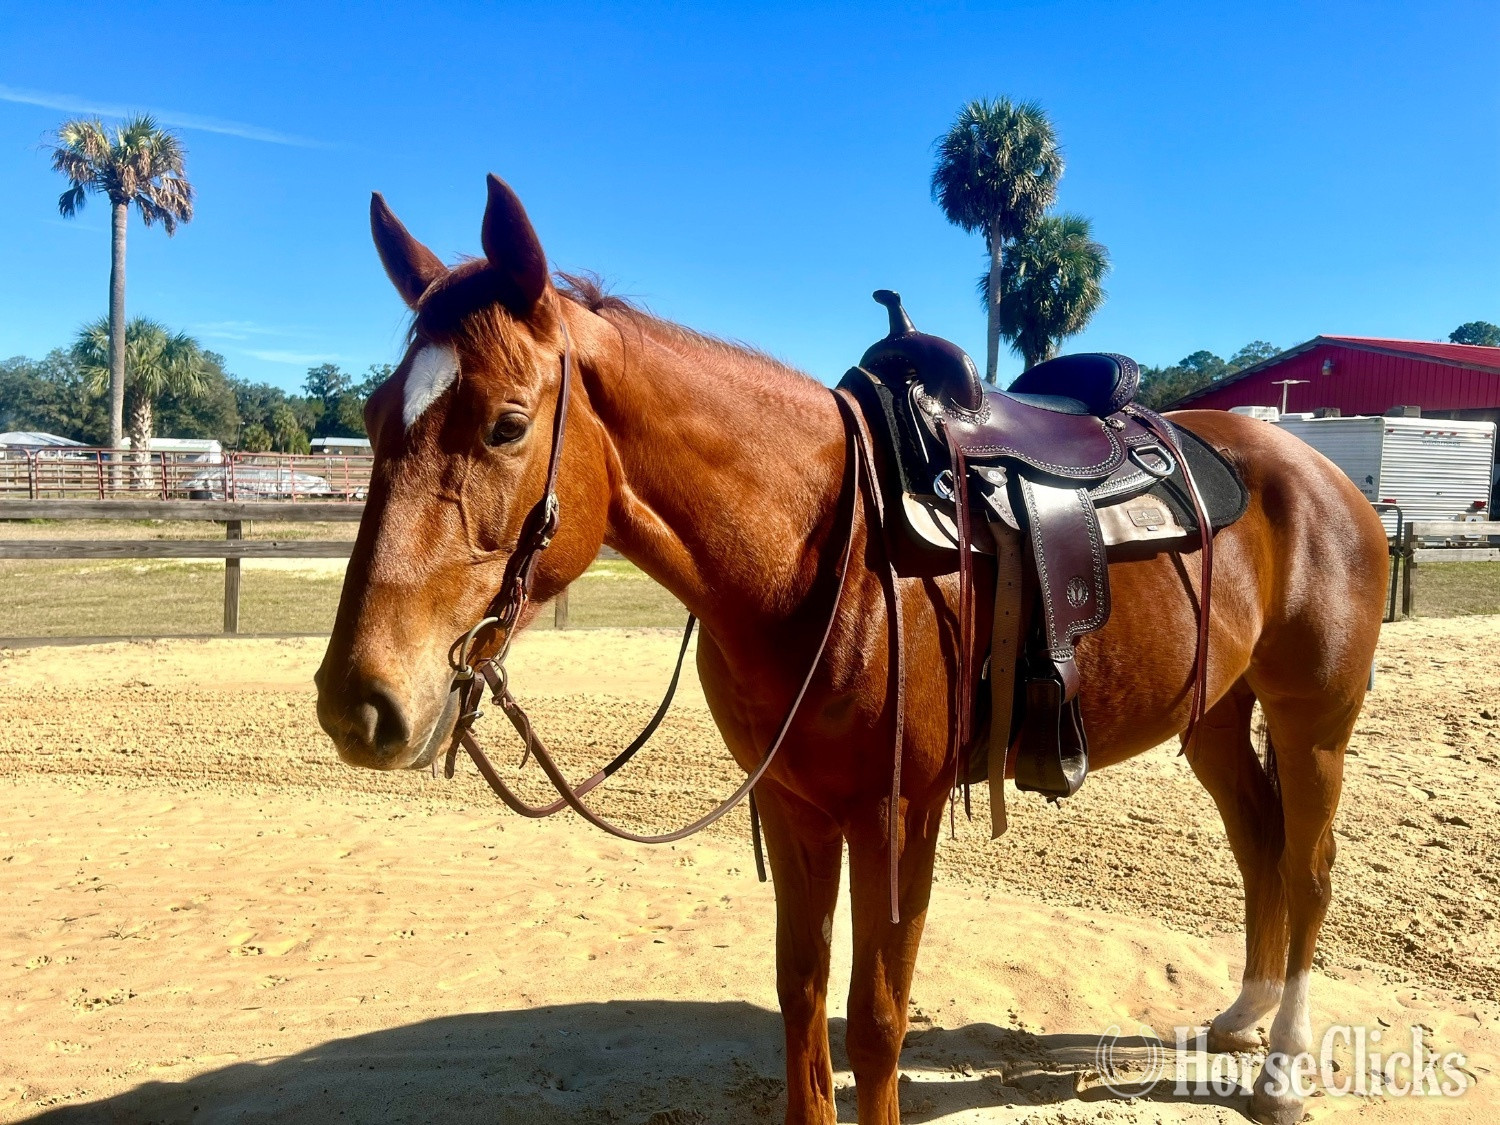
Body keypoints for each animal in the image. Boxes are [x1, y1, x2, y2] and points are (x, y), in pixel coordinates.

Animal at [315, 174, 1389, 1125]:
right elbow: (800, 998)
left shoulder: (895, 819)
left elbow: (873, 1021)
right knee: (1259, 845)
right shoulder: (795, 807)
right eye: (370, 419)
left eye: (506, 424)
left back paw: (1283, 1070)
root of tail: (1320, 472)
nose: (358, 702)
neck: (823, 553)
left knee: (1310, 869)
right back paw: (1243, 1016)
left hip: (1314, 723)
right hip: (1217, 717)